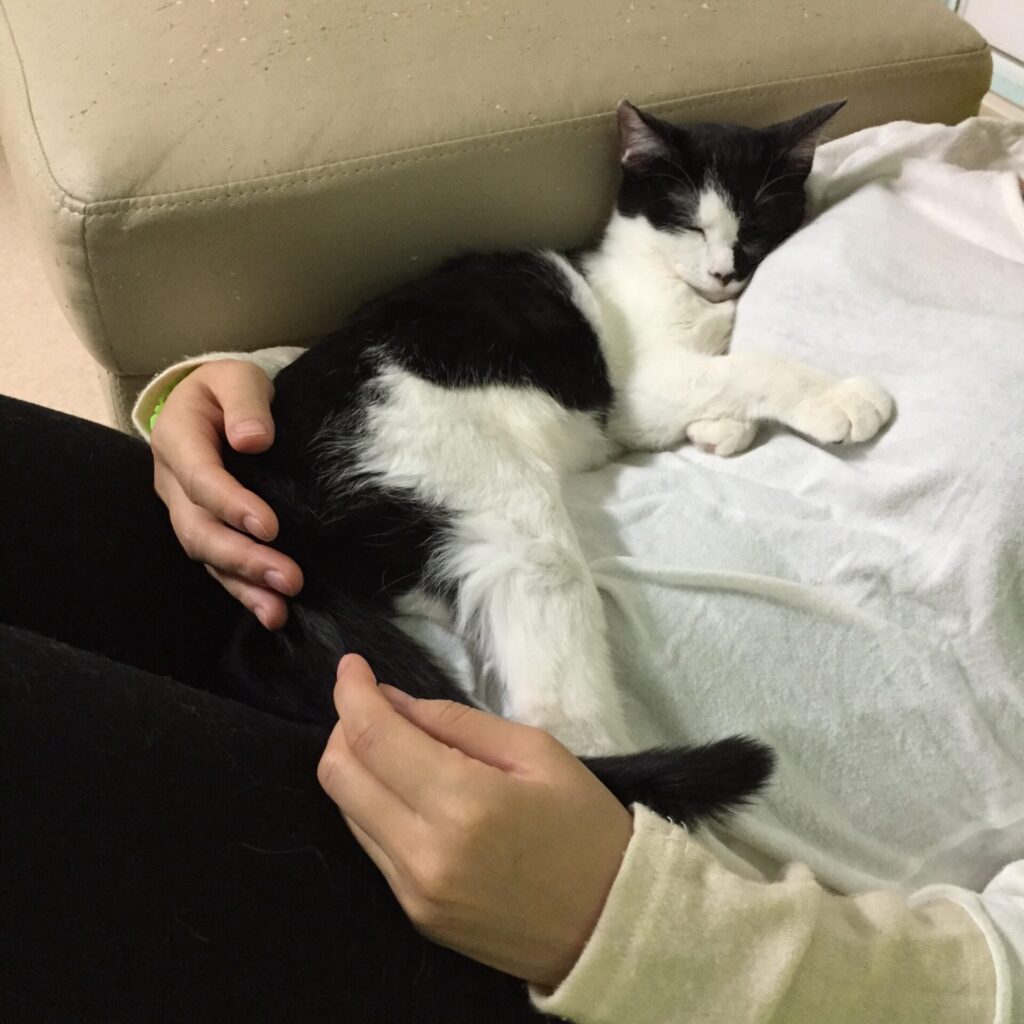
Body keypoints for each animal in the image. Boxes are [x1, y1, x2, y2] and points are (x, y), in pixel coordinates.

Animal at [220, 99, 893, 826]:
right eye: (688, 221)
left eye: (760, 223)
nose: (724, 273)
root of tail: (270, 486)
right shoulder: (637, 391)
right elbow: (747, 368)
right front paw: (840, 399)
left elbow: (723, 379)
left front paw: (724, 428)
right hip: (495, 500)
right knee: (555, 721)